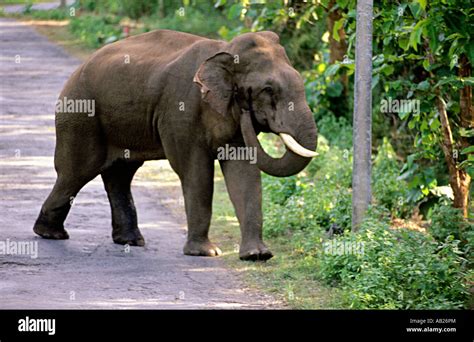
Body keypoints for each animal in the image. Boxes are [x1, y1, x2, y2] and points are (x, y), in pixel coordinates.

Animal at [31, 29, 316, 260]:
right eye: (268, 89)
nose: (246, 106)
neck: (224, 51)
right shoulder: (181, 112)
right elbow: (194, 171)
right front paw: (206, 253)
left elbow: (244, 173)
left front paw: (257, 255)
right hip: (80, 116)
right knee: (75, 172)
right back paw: (50, 234)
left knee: (120, 174)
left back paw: (130, 241)